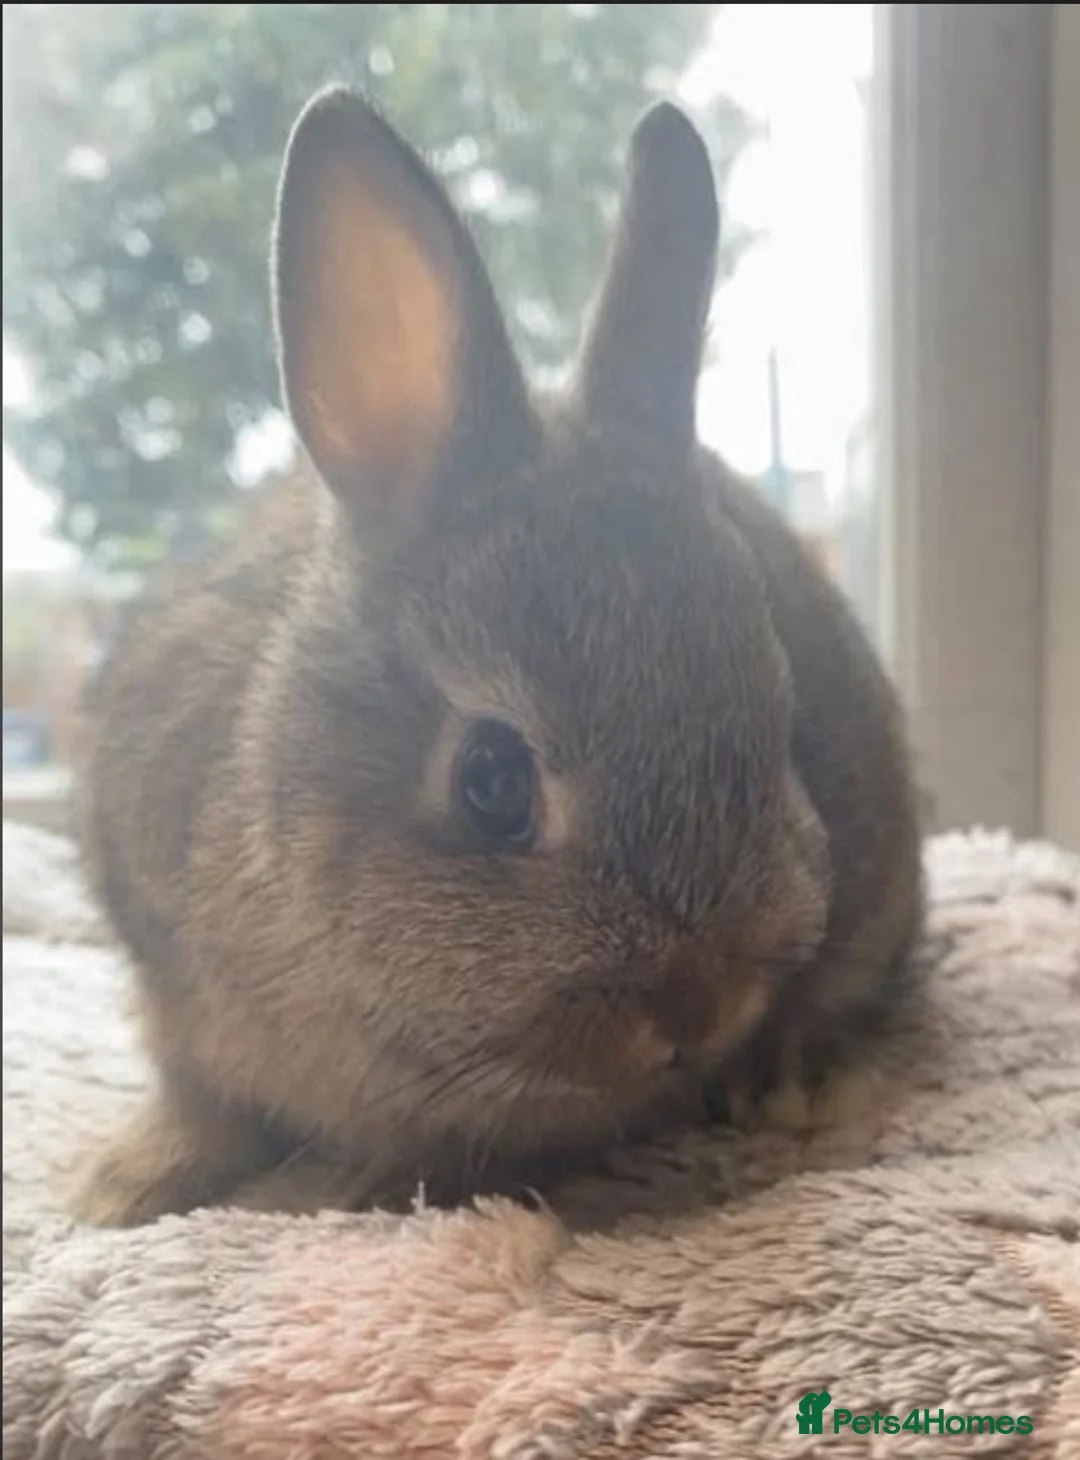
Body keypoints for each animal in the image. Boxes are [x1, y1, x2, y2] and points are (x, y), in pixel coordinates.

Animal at [70, 87, 922, 1227]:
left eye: (785, 728)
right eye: (491, 781)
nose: (699, 1005)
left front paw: (365, 1187)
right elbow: (196, 1104)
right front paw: (119, 1188)